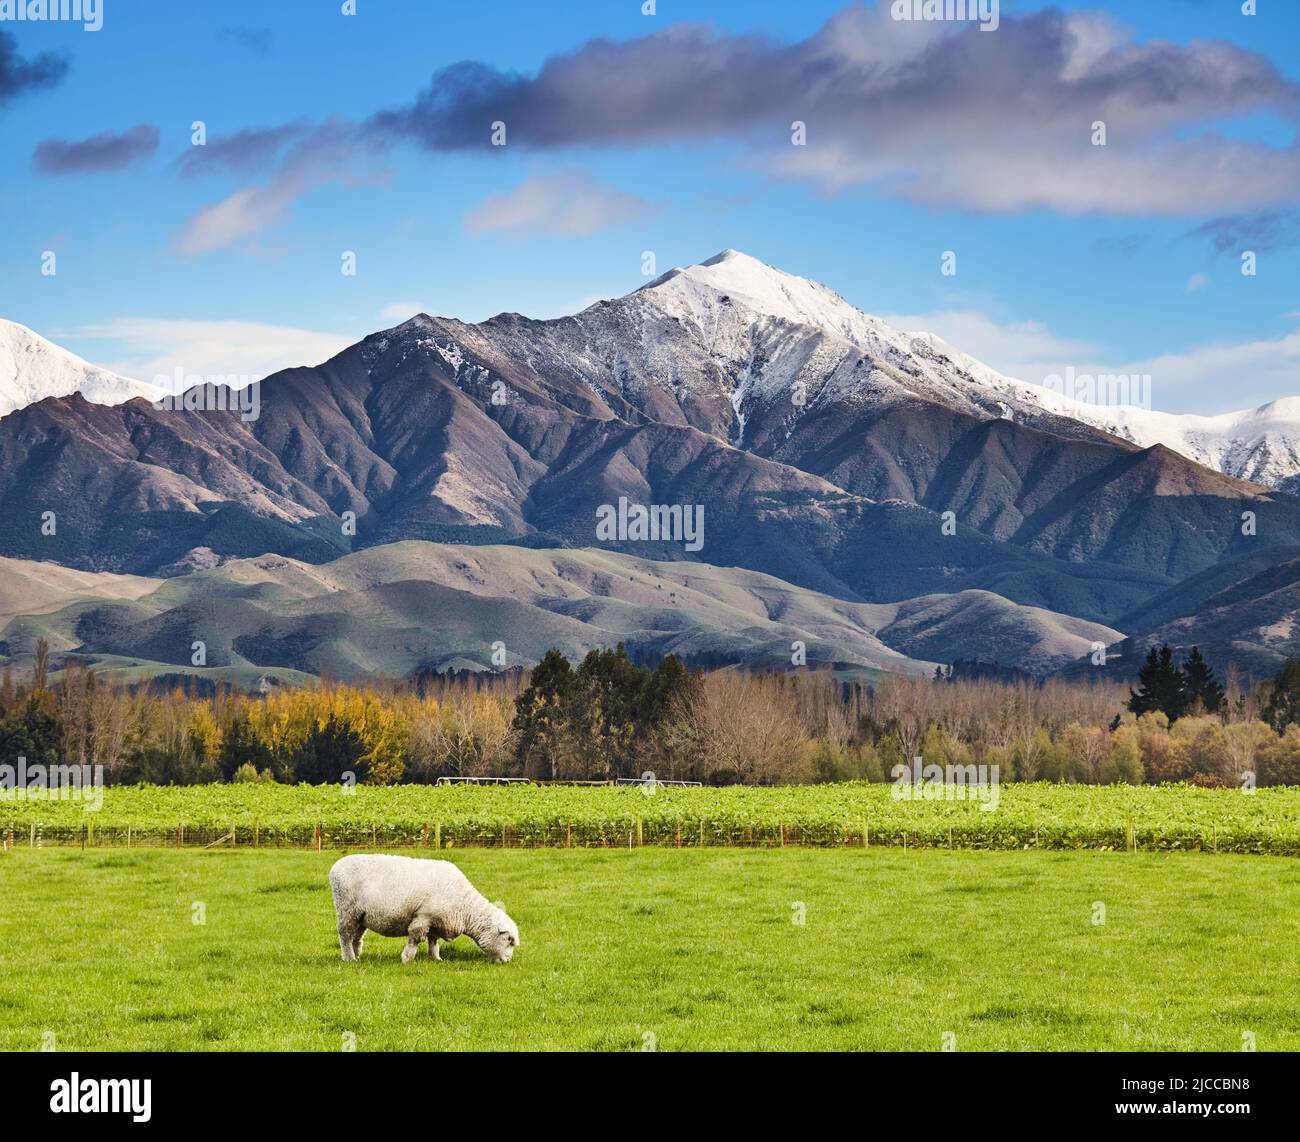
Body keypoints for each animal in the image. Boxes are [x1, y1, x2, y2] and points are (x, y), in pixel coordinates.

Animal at [328, 854, 520, 964]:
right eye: (509, 940)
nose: (507, 961)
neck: (466, 909)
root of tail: (335, 867)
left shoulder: (437, 919)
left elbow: (433, 940)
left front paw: (435, 958)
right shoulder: (423, 917)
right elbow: (415, 938)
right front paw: (407, 959)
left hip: (361, 915)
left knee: (356, 936)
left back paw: (356, 955)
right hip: (346, 908)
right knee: (345, 934)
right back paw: (349, 958)